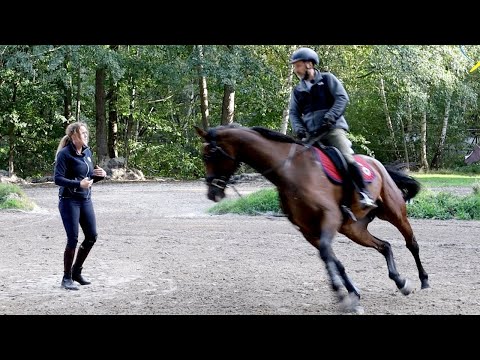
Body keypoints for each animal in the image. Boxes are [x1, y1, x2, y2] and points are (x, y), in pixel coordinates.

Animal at [195, 123, 432, 312]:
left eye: (209, 155)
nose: (212, 193)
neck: (290, 172)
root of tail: (376, 163)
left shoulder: (329, 218)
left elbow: (328, 255)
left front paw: (344, 295)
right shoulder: (308, 230)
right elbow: (332, 260)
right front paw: (350, 295)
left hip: (394, 212)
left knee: (411, 243)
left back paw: (424, 281)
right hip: (353, 228)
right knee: (385, 246)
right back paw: (400, 281)